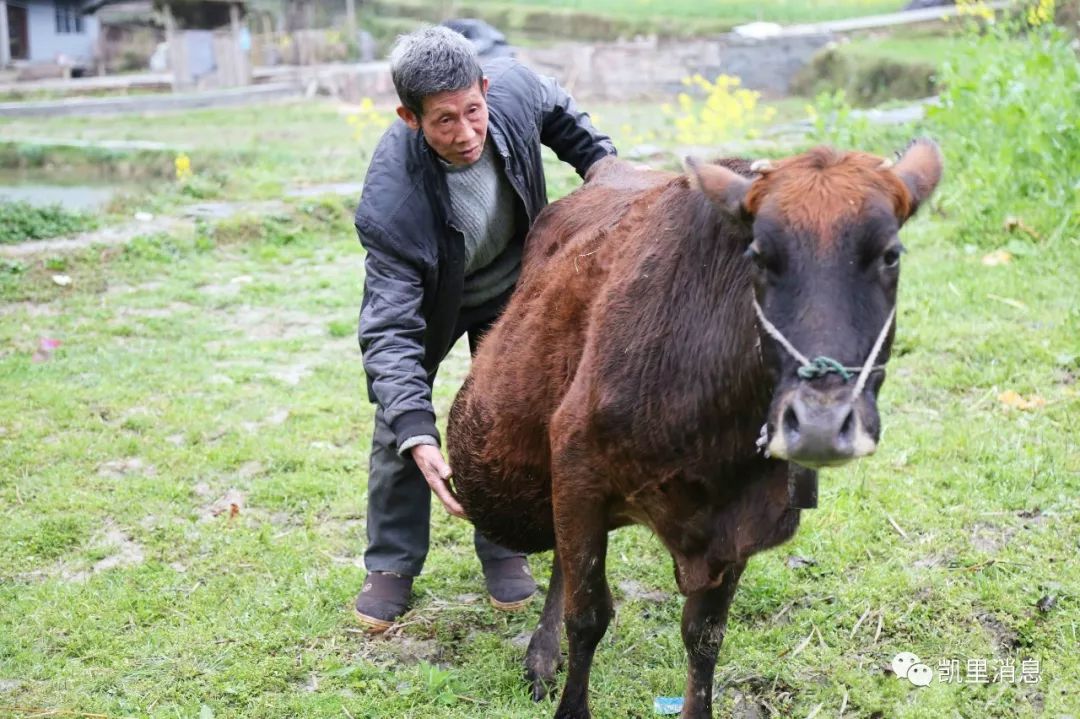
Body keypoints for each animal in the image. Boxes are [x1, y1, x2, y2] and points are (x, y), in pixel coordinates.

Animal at [442, 137, 941, 712]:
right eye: (759, 256)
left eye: (890, 254)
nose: (820, 422)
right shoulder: (578, 472)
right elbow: (587, 615)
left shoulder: (744, 520)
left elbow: (704, 635)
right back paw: (542, 657)